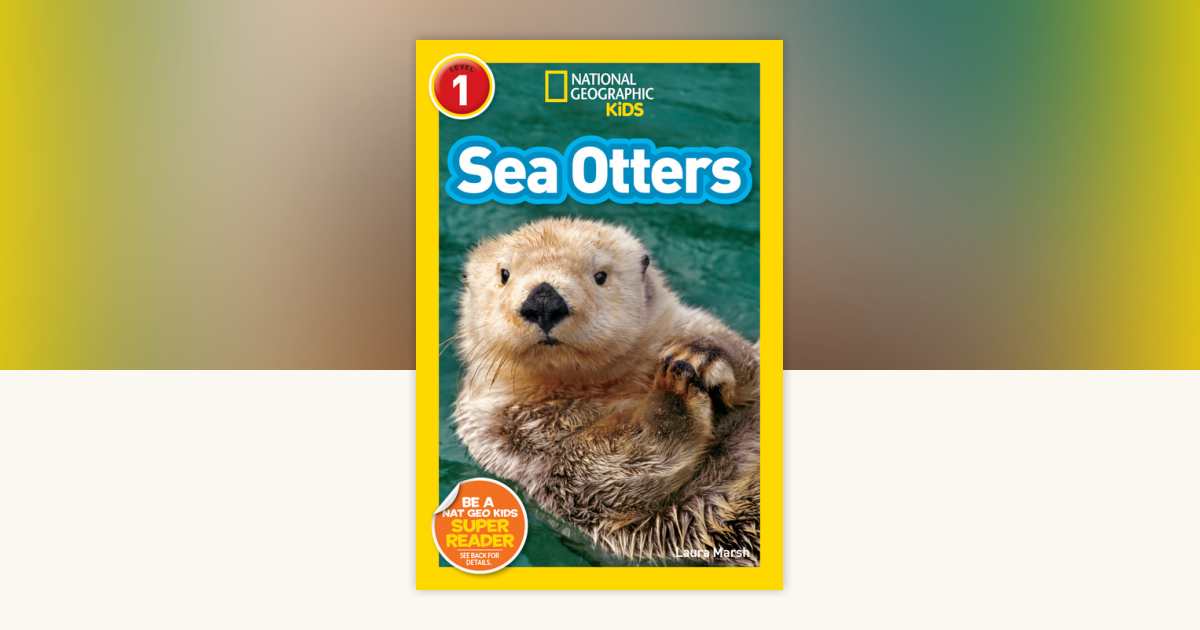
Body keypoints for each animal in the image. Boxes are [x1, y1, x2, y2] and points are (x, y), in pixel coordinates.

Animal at [451, 217, 760, 566]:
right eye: (504, 274)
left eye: (600, 275)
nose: (543, 301)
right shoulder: (509, 438)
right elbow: (610, 467)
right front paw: (674, 391)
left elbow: (749, 362)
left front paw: (700, 355)